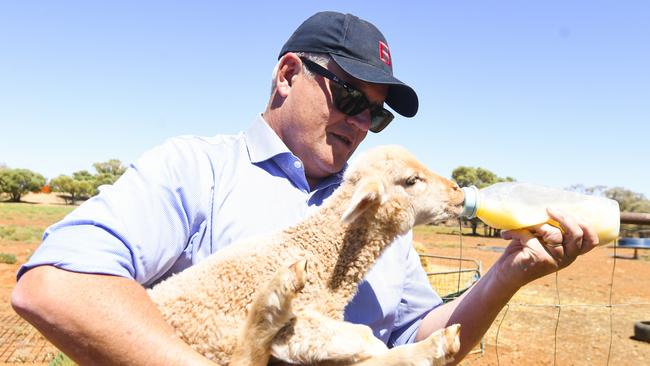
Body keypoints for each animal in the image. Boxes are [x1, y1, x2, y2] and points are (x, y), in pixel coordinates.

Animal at [146, 144, 466, 364]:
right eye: (412, 180)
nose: (459, 192)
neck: (321, 255)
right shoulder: (290, 327)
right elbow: (365, 335)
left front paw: (436, 345)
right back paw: (274, 298)